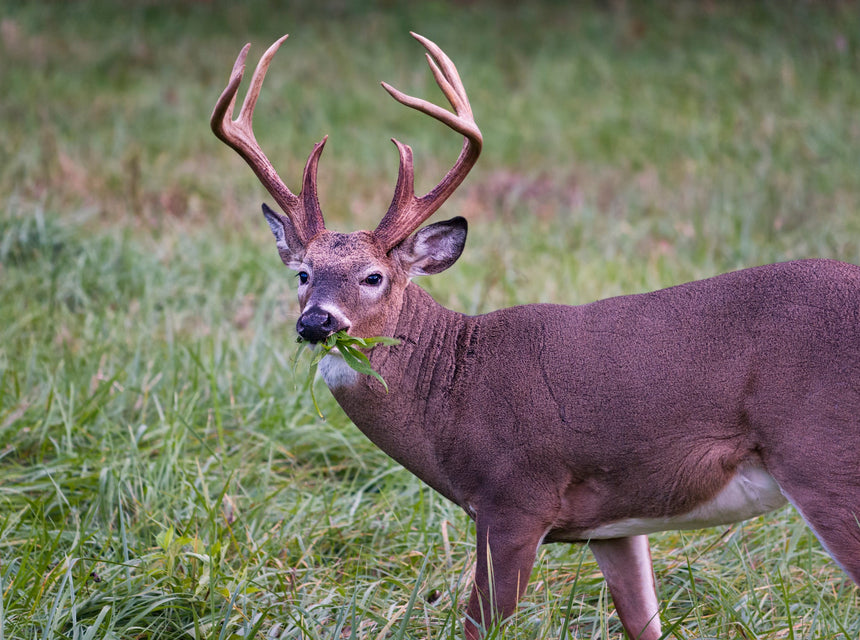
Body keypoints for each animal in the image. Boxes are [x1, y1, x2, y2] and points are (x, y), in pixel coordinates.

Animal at [211, 33, 860, 639]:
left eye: (374, 276)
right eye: (302, 273)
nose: (316, 322)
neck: (454, 393)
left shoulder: (516, 499)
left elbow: (479, 625)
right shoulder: (612, 523)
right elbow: (643, 621)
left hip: (822, 454)